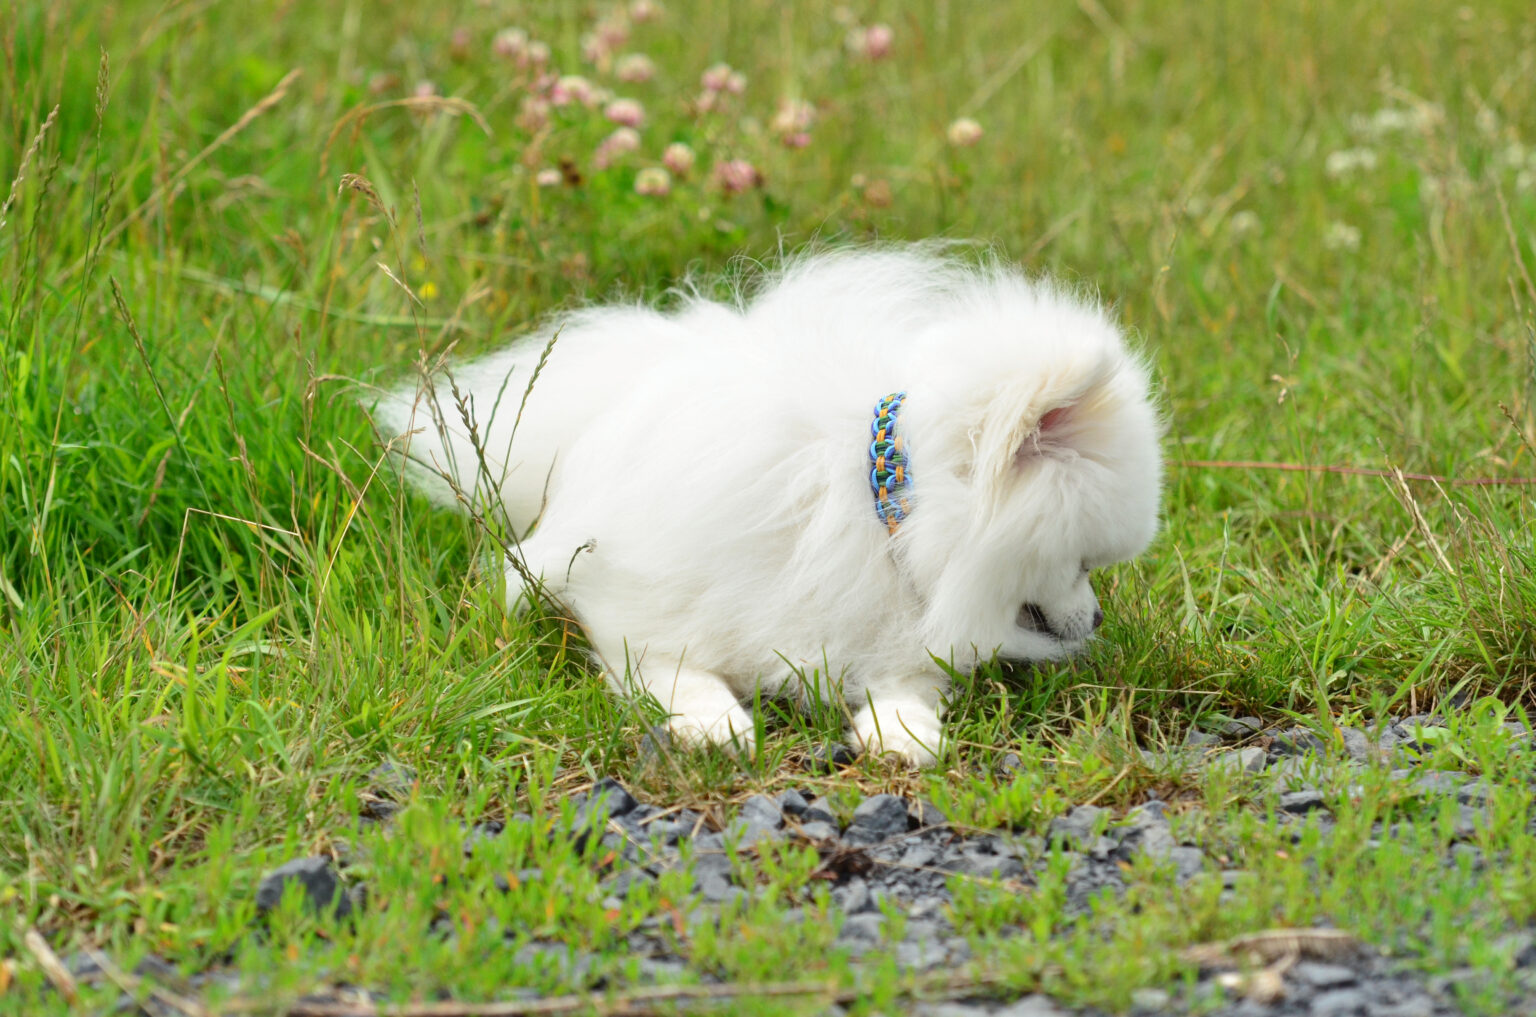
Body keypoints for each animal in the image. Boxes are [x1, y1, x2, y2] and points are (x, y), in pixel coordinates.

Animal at [374, 247, 1161, 765]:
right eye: (1083, 563)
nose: (1097, 619)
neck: (874, 508)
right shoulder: (640, 616)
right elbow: (674, 669)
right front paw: (713, 723)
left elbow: (908, 684)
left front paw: (902, 732)